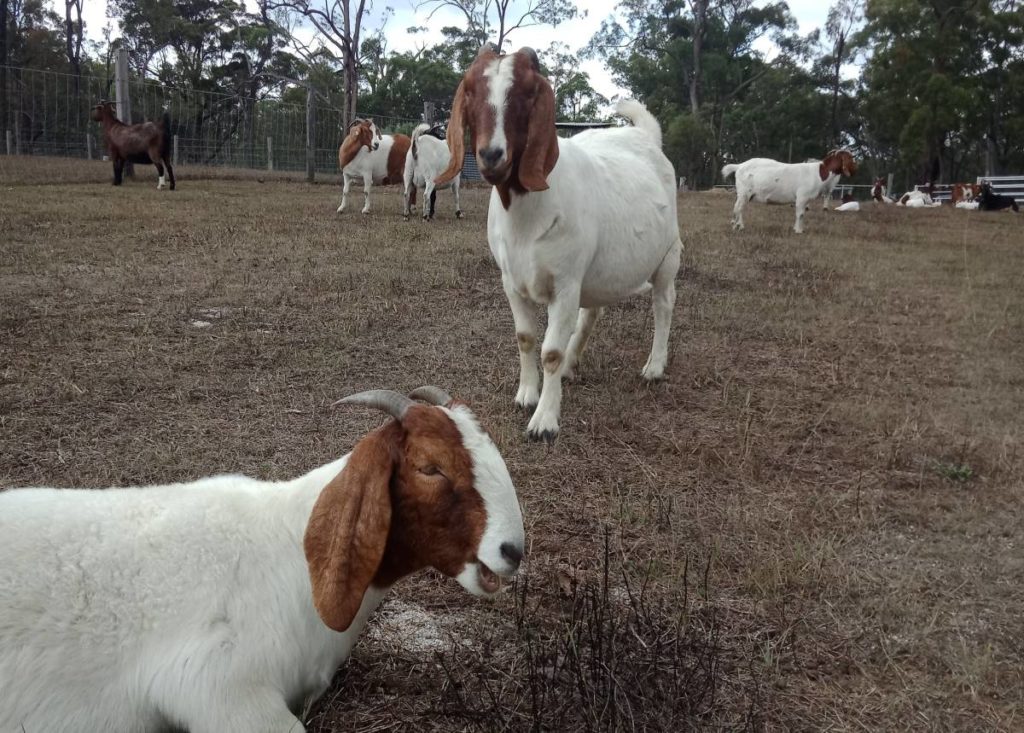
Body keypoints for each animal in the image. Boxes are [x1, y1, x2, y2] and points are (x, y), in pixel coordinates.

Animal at [434, 46, 682, 442]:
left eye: (526, 93)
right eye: (470, 91)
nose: (491, 155)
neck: (525, 217)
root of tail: (646, 136)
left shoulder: (565, 283)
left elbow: (550, 351)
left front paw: (545, 421)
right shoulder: (511, 281)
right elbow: (525, 337)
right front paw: (526, 395)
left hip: (667, 255)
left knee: (664, 303)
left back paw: (654, 367)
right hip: (597, 271)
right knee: (593, 310)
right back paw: (571, 363)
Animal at [721, 150, 858, 233]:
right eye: (850, 157)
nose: (855, 170)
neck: (820, 173)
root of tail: (739, 166)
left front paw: (798, 229)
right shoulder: (802, 197)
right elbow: (800, 214)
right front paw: (798, 230)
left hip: (744, 194)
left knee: (738, 207)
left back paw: (737, 225)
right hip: (744, 192)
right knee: (738, 208)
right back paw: (738, 226)